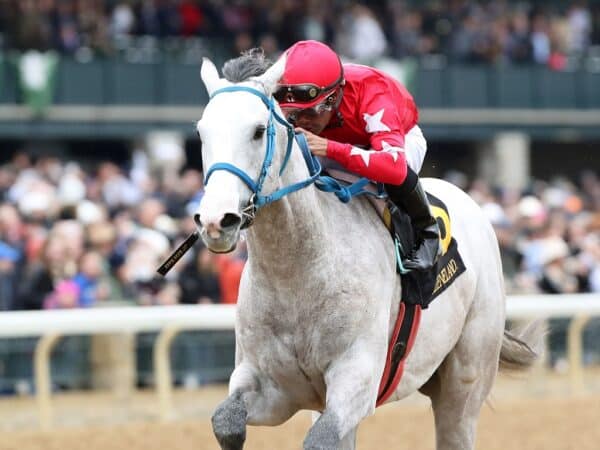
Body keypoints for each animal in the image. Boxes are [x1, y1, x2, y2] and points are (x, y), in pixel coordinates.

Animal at [195, 57, 540, 450]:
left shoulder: (357, 378)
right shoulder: (269, 384)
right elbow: (226, 422)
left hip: (466, 378)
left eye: (257, 130)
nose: (216, 220)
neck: (297, 270)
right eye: (201, 132)